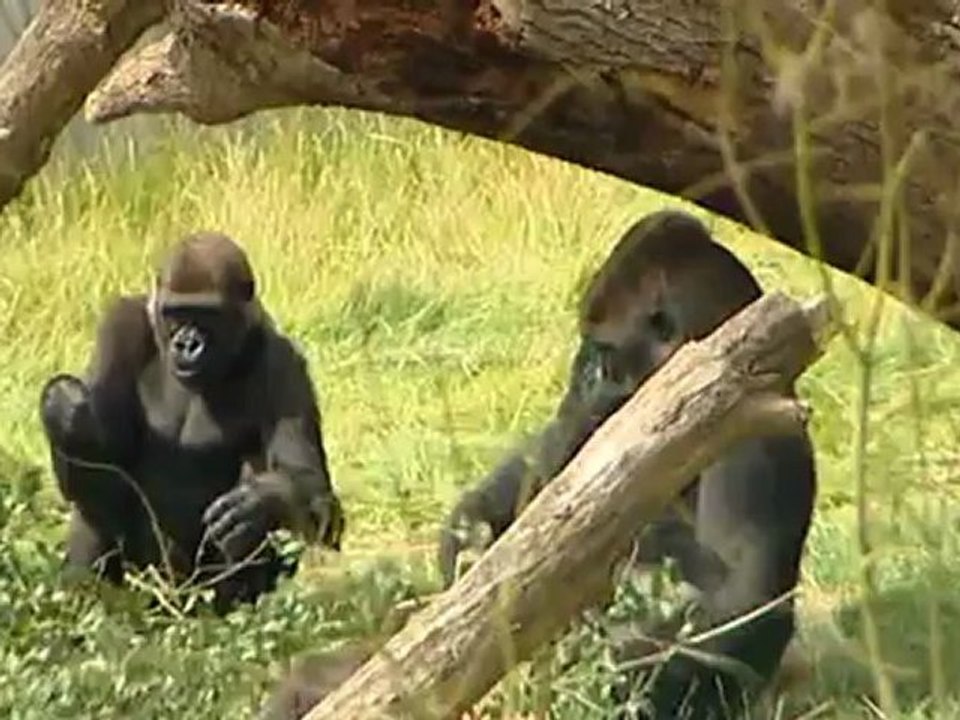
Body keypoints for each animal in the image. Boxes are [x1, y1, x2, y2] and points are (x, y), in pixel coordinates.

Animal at [39, 231, 344, 614]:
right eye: (175, 312)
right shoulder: (120, 325)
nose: (187, 344)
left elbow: (317, 498)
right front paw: (61, 410)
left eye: (206, 313)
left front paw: (259, 503)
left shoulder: (285, 363)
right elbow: (96, 463)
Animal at [437, 210, 817, 719]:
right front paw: (469, 538)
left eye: (606, 351)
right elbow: (546, 475)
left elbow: (740, 598)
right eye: (591, 353)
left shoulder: (758, 443)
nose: (583, 375)